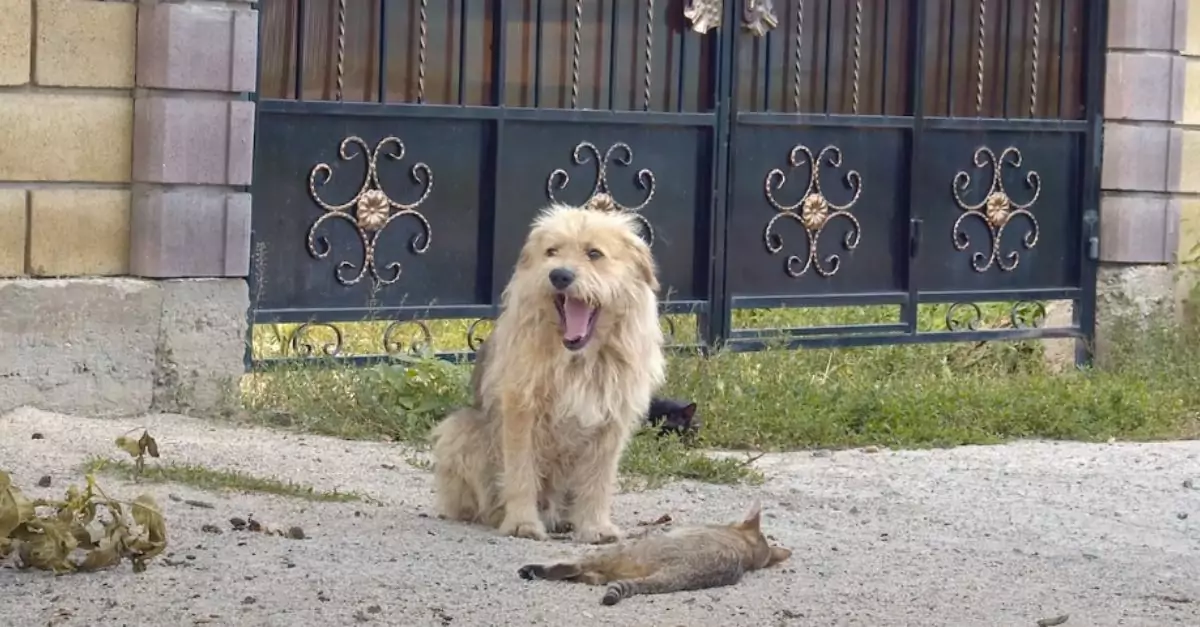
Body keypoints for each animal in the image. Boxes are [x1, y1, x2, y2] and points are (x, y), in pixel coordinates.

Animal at [429, 194, 667, 540]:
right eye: (552, 251)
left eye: (594, 254)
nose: (559, 276)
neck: (577, 359)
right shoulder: (522, 411)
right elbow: (521, 472)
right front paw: (522, 523)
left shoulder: (611, 421)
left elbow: (598, 480)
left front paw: (595, 526)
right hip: (459, 430)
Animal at [513, 499, 787, 602]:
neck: (746, 549)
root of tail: (681, 573)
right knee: (593, 576)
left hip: (625, 551)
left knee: (582, 566)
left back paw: (537, 569)